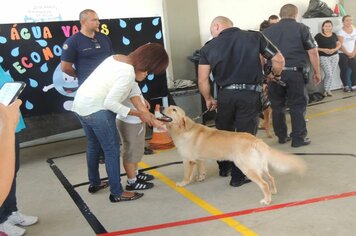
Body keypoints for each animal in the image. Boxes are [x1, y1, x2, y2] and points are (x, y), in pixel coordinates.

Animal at [161, 105, 306, 205]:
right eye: (169, 106)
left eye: (173, 109)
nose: (161, 107)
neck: (183, 129)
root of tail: (255, 139)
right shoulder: (198, 158)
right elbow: (200, 168)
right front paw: (200, 177)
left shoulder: (188, 160)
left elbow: (187, 174)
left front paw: (182, 183)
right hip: (261, 166)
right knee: (271, 178)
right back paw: (273, 192)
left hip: (248, 168)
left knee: (264, 184)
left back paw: (266, 200)